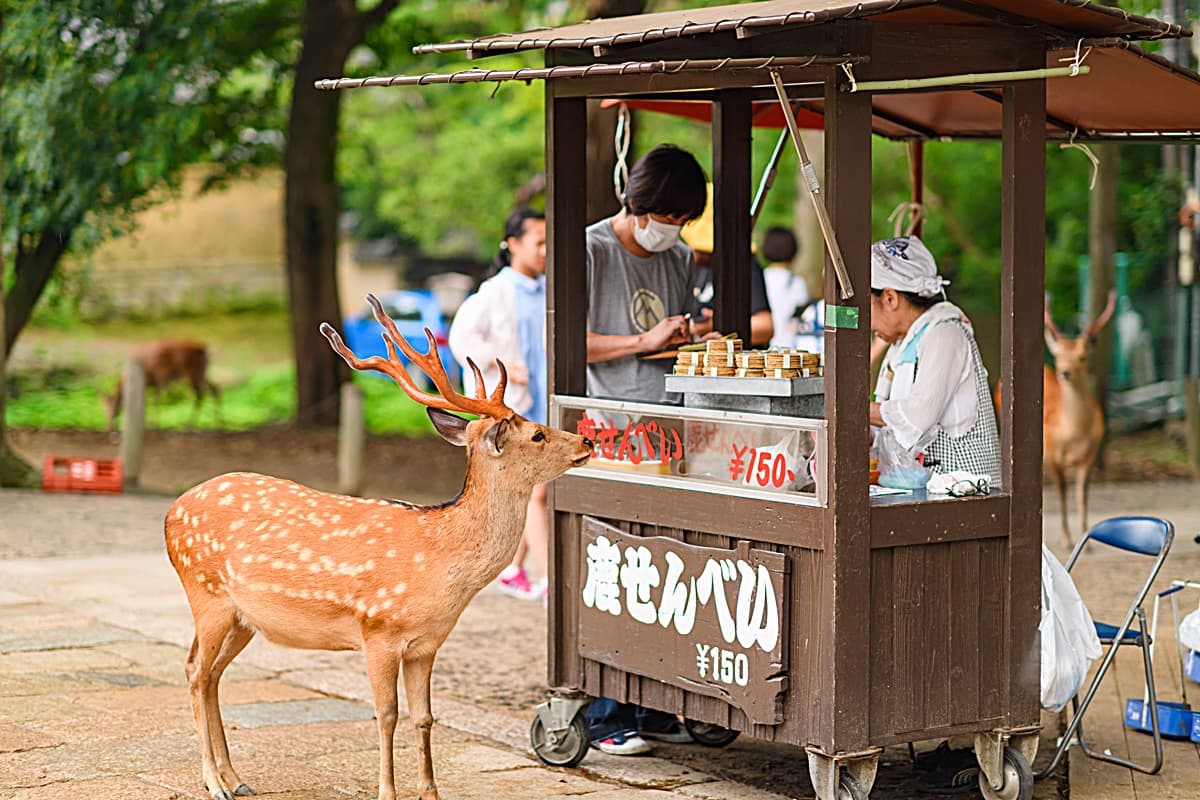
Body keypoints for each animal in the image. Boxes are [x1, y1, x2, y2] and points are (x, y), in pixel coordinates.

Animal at [164, 293, 593, 800]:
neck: (442, 566)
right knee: (195, 671)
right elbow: (386, 715)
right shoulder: (378, 631)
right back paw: (213, 781)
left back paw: (236, 777)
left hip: (243, 618)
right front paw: (388, 791)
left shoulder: (427, 644)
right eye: (538, 434)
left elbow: (425, 717)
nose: (587, 439)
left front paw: (431, 792)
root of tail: (171, 511)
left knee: (212, 674)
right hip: (206, 594)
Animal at [1043, 290, 1116, 548]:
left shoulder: (1091, 454)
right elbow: (1062, 495)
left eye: (1082, 357)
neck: (1072, 434)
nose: (1064, 372)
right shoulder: (1050, 455)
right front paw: (1066, 539)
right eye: (1057, 356)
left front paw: (1088, 540)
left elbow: (1081, 494)